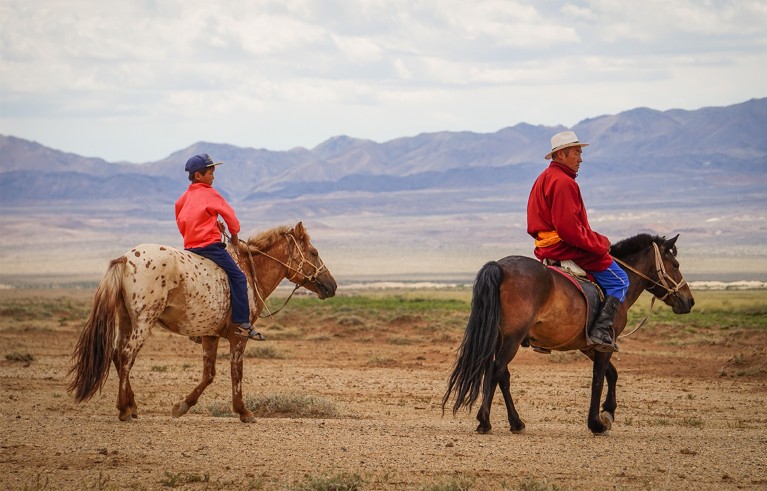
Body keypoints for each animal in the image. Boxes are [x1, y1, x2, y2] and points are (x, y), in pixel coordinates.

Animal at [69, 223, 336, 422]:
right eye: (314, 252)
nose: (332, 285)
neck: (250, 272)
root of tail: (125, 259)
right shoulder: (239, 335)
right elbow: (236, 372)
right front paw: (243, 411)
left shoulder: (210, 335)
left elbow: (209, 374)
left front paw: (182, 405)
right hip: (144, 321)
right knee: (126, 356)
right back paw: (123, 409)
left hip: (126, 320)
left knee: (116, 354)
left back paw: (132, 406)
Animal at [444, 236, 696, 436]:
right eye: (675, 264)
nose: (689, 300)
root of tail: (499, 266)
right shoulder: (604, 344)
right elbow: (598, 379)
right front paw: (597, 423)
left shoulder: (589, 345)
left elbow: (612, 374)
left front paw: (608, 412)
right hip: (511, 338)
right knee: (497, 371)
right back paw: (484, 421)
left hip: (498, 338)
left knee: (501, 374)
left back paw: (516, 422)